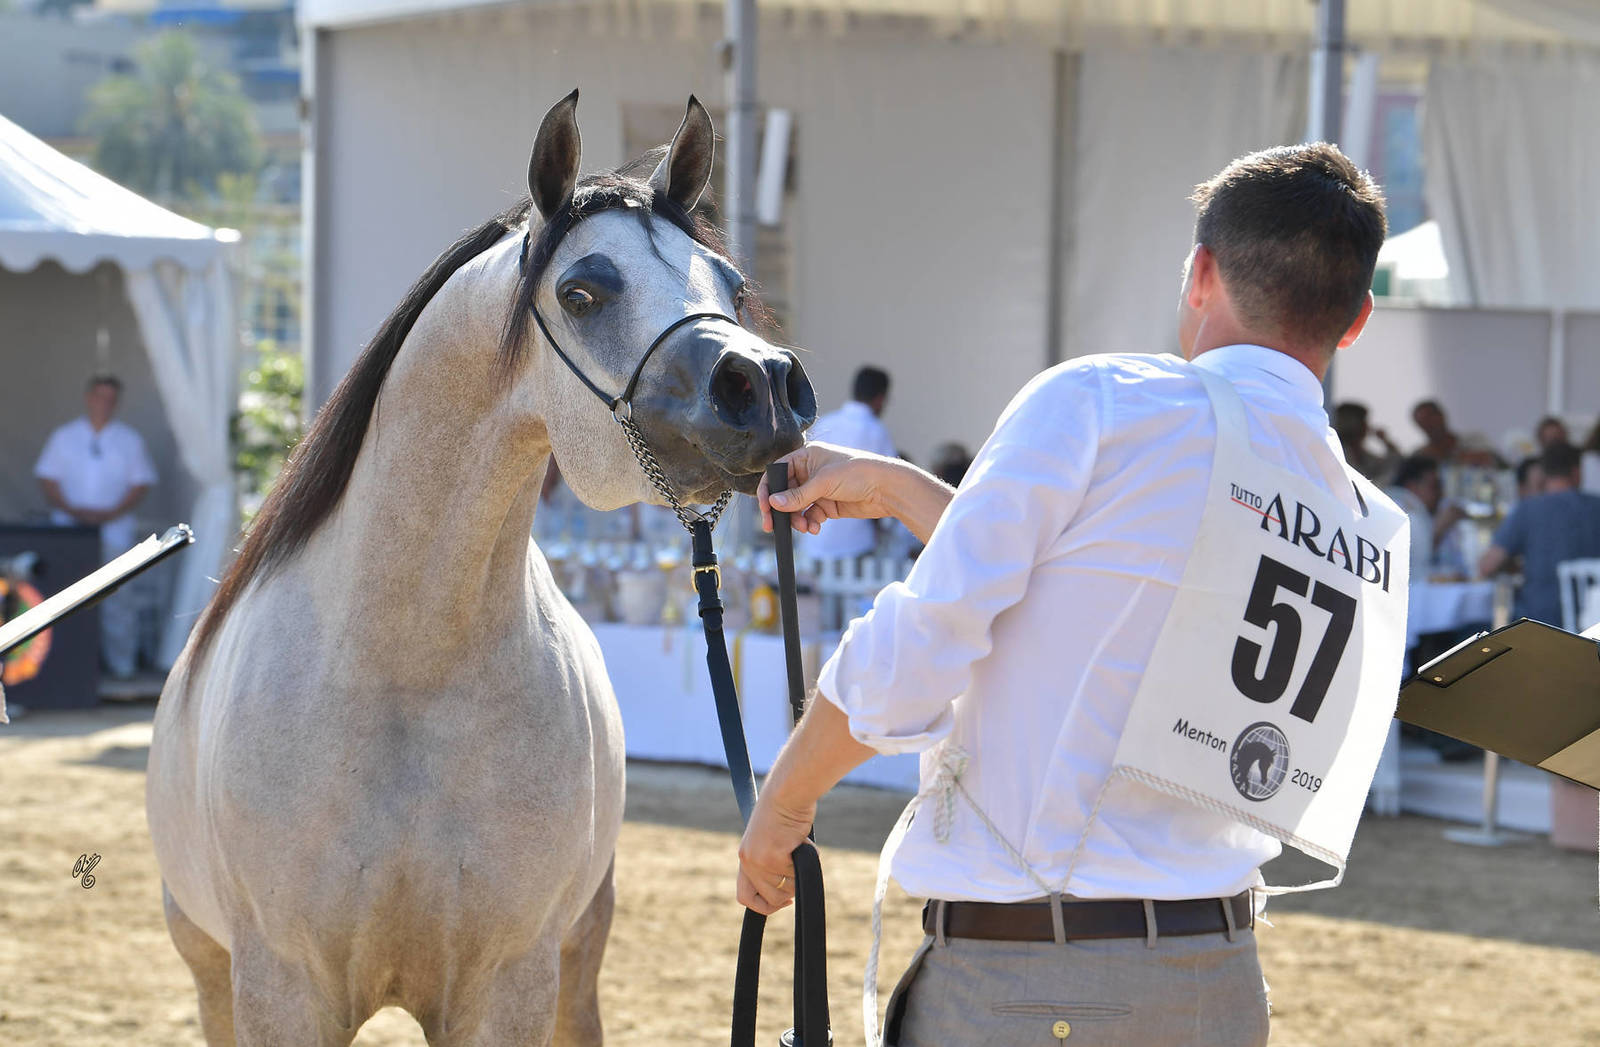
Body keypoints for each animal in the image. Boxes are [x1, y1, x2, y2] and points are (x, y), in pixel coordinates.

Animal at [146, 91, 815, 1047]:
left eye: (727, 285)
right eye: (582, 292)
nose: (763, 387)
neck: (407, 673)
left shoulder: (510, 981)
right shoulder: (280, 984)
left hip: (580, 952)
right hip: (209, 970)